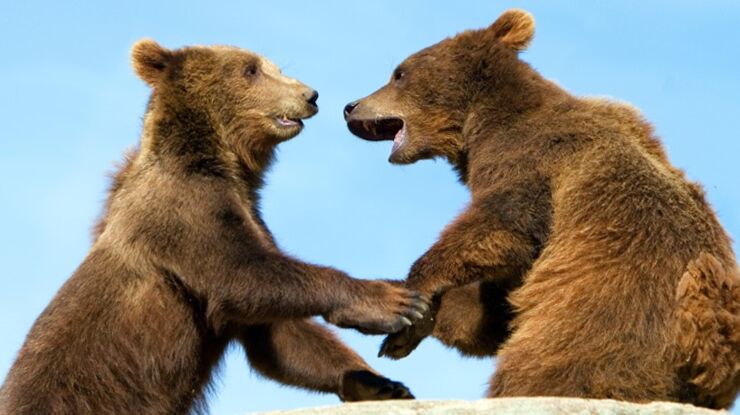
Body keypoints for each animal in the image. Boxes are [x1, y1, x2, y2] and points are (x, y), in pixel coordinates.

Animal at [0, 39, 428, 415]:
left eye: (274, 67)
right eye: (251, 69)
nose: (310, 95)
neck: (220, 161)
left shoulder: (246, 214)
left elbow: (277, 336)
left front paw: (382, 383)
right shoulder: (186, 213)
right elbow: (242, 275)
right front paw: (393, 301)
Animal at [344, 8, 736, 410]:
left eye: (399, 73)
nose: (350, 106)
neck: (480, 123)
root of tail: (710, 348)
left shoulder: (531, 160)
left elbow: (502, 224)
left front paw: (413, 296)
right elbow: (493, 308)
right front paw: (394, 314)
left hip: (602, 320)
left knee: (546, 366)